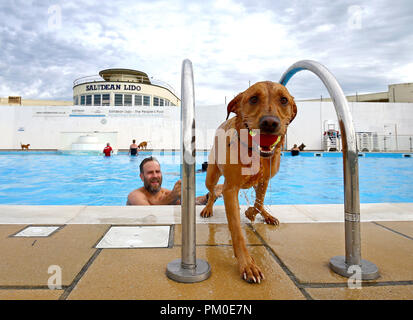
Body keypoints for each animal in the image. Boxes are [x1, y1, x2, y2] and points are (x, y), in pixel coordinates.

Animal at [200, 81, 294, 284]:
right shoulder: (231, 189)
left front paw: (252, 212)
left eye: (284, 100)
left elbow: (258, 203)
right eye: (253, 98)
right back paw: (208, 208)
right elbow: (236, 229)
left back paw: (267, 215)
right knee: (212, 190)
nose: (270, 123)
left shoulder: (264, 180)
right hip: (211, 175)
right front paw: (247, 265)